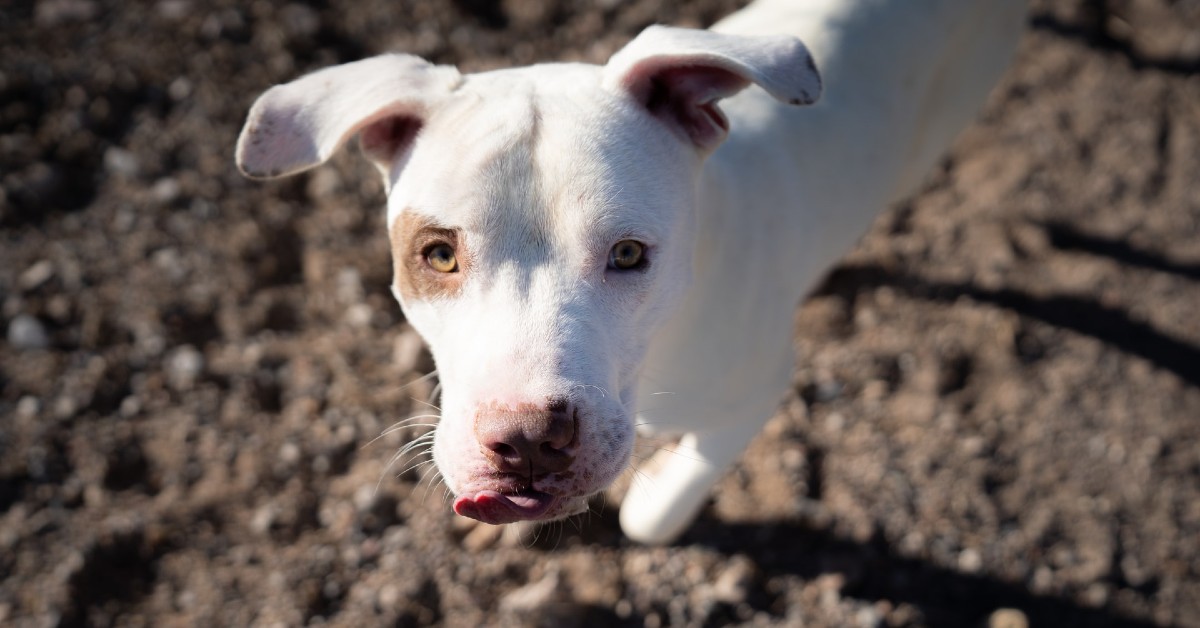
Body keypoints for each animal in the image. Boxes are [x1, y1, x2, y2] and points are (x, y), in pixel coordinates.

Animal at [236, 0, 1022, 542]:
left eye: (628, 255)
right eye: (437, 255)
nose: (528, 438)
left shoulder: (757, 391)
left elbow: (653, 514)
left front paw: (649, 495)